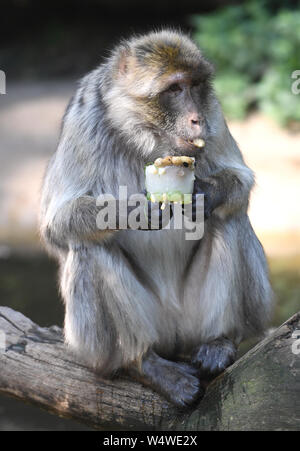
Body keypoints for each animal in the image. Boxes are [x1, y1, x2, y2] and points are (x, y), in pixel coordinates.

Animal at [38, 30, 274, 408]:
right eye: (174, 89)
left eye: (195, 85)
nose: (196, 119)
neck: (141, 134)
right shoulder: (83, 119)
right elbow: (56, 225)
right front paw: (127, 211)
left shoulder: (213, 109)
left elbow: (240, 181)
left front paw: (208, 195)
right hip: (121, 337)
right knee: (89, 247)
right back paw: (142, 362)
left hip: (189, 323)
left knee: (230, 220)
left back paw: (219, 340)